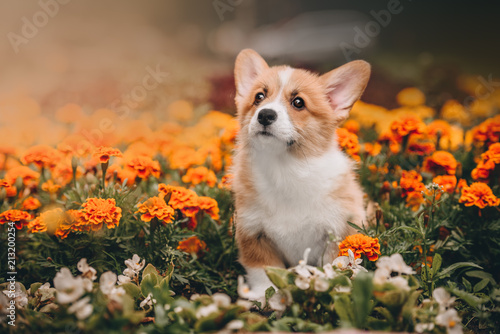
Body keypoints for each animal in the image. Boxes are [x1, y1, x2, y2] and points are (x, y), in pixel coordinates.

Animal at [232, 49, 370, 302]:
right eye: (259, 97)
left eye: (298, 103)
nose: (265, 115)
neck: (285, 169)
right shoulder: (253, 233)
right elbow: (262, 272)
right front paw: (265, 298)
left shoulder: (337, 233)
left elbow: (334, 267)